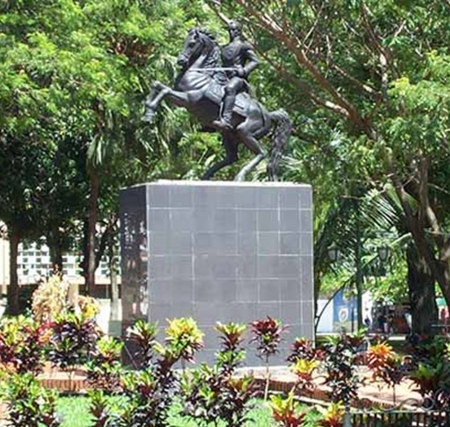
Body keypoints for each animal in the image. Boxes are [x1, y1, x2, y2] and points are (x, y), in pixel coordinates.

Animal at [144, 26, 292, 181]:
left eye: (191, 44)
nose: (181, 61)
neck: (198, 73)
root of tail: (268, 114)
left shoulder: (188, 99)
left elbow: (165, 91)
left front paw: (150, 113)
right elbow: (157, 85)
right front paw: (147, 112)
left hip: (245, 131)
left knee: (261, 153)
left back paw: (239, 176)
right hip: (229, 135)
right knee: (232, 157)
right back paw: (206, 176)